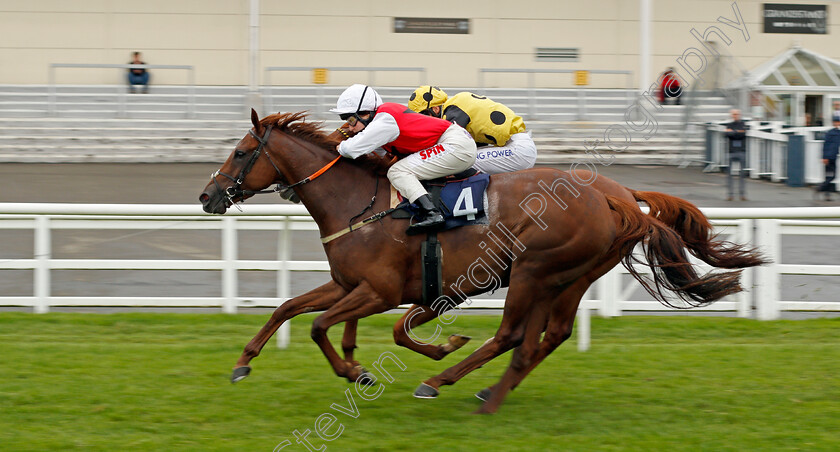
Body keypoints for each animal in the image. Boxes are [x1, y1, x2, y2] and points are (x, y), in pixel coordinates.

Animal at [199, 112, 768, 414]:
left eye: (241, 151)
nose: (207, 197)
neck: (359, 202)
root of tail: (618, 194)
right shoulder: (348, 285)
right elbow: (287, 309)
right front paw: (243, 361)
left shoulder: (379, 291)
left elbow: (320, 326)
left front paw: (357, 372)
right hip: (567, 276)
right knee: (545, 337)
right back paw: (491, 392)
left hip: (535, 270)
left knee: (513, 335)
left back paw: (445, 381)